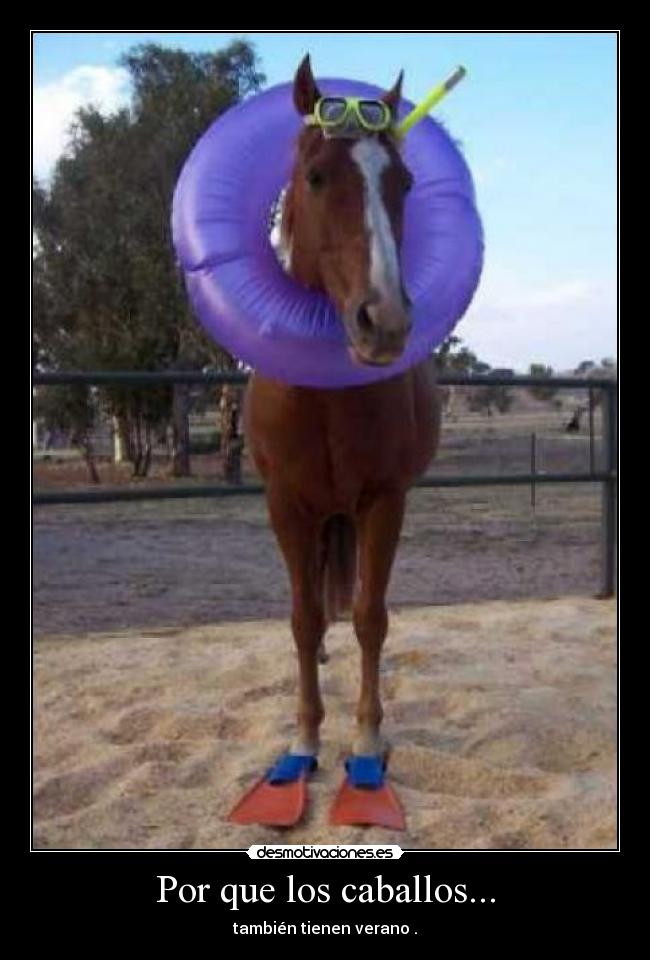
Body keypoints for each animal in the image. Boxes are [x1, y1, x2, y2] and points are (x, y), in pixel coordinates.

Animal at [244, 55, 442, 767]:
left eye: (404, 182)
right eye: (315, 175)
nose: (383, 321)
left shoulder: (384, 500)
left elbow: (370, 616)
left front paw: (366, 735)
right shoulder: (285, 504)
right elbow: (303, 619)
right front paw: (304, 736)